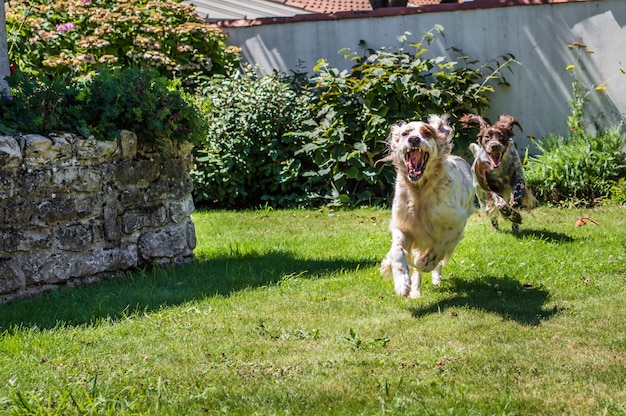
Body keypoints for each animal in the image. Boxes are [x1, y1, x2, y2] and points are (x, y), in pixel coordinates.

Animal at [380, 116, 472, 300]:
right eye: (405, 133)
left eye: (427, 133)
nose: (414, 139)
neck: (420, 191)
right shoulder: (403, 226)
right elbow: (397, 251)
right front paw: (402, 282)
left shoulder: (455, 226)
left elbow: (437, 250)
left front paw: (423, 262)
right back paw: (414, 290)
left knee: (439, 261)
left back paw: (434, 277)